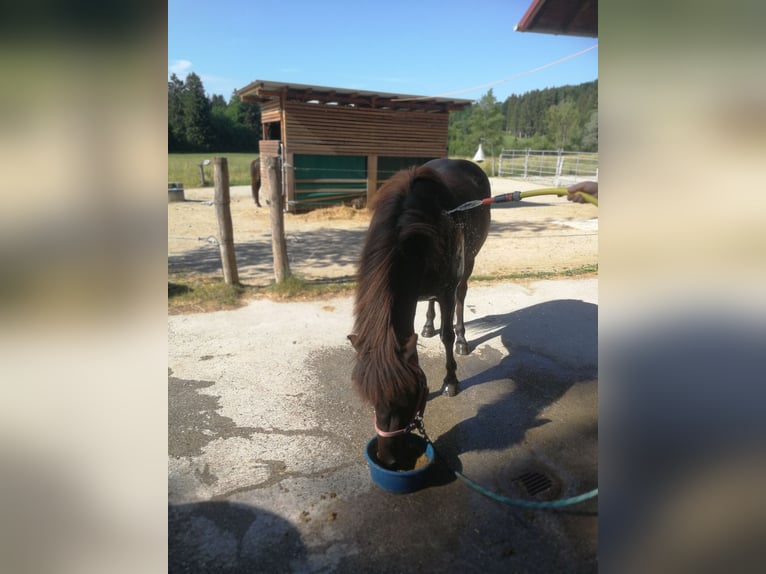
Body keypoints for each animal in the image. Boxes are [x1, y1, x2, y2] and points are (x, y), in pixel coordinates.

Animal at [348, 158, 491, 469]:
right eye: (372, 399)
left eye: (407, 397)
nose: (388, 459)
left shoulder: (447, 288)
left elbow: (446, 335)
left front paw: (451, 381)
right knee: (430, 303)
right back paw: (427, 325)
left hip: (469, 263)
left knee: (461, 297)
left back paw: (462, 340)